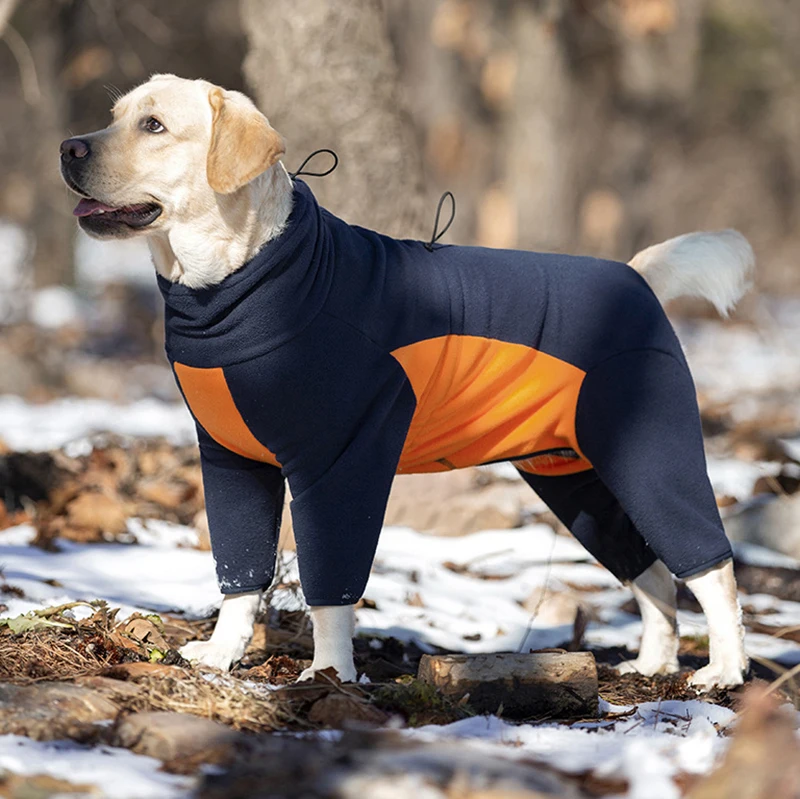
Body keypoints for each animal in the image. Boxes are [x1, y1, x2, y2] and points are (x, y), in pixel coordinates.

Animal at [59, 73, 752, 688]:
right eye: (114, 115)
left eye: (153, 125)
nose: (68, 147)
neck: (234, 284)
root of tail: (635, 277)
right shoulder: (231, 459)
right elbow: (240, 575)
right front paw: (221, 655)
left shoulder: (340, 462)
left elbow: (331, 587)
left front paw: (330, 674)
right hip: (572, 477)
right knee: (654, 576)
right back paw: (653, 664)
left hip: (649, 453)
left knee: (710, 567)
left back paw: (723, 670)